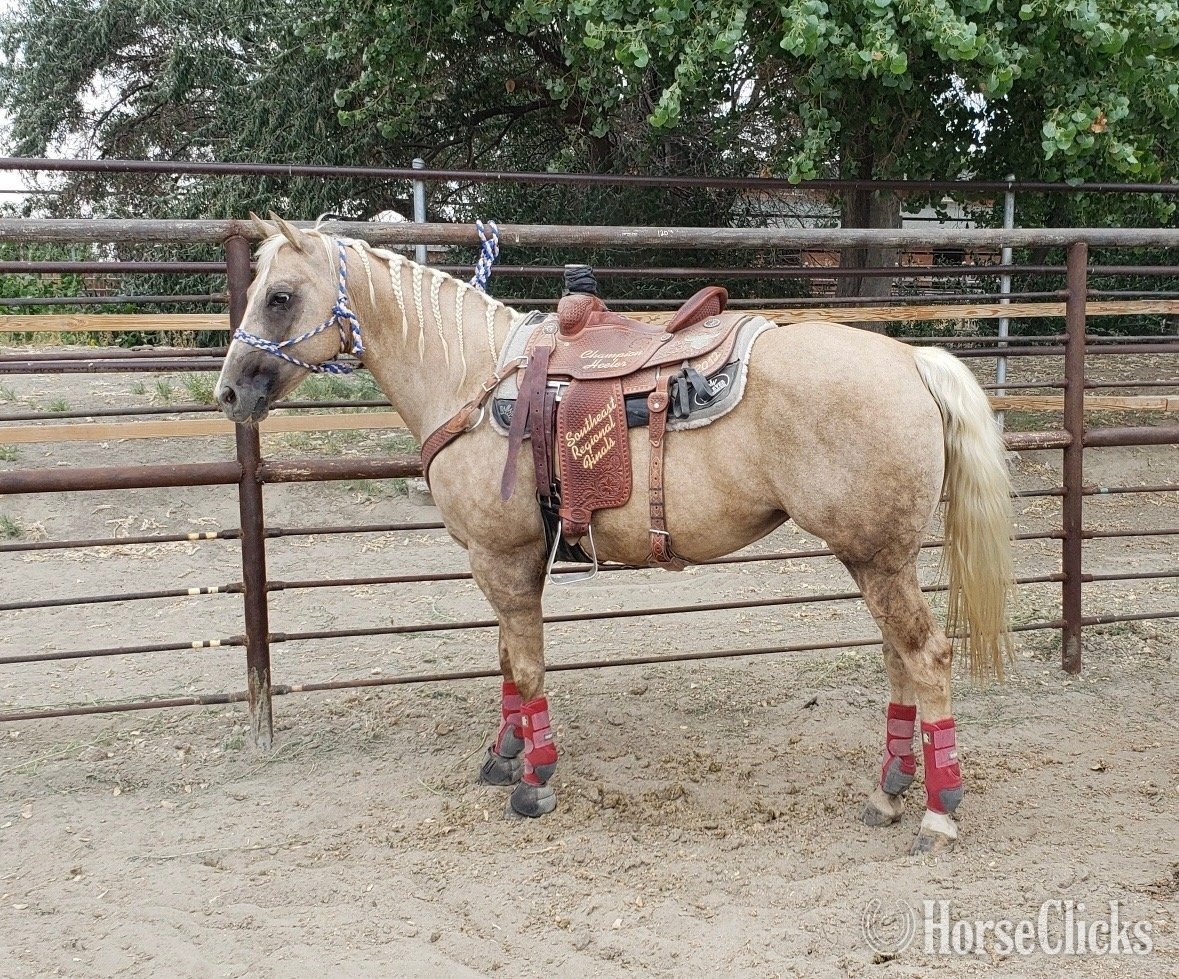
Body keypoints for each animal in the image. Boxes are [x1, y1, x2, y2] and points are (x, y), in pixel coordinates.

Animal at [214, 215, 1014, 855]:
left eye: (279, 296)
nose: (229, 391)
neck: (471, 378)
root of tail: (910, 360)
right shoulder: (513, 560)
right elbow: (508, 659)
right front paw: (504, 754)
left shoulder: (502, 559)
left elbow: (527, 666)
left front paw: (534, 782)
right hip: (875, 558)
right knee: (898, 660)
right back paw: (888, 790)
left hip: (877, 558)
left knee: (927, 656)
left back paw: (938, 810)